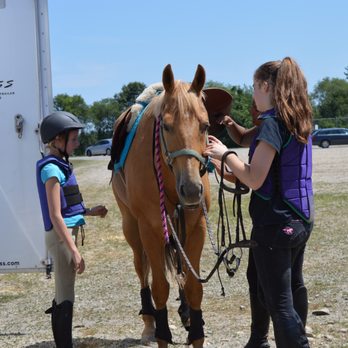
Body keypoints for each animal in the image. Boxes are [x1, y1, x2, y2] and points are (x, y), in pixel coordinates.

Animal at [110, 64, 211, 346]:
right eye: (165, 126)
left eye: (205, 125)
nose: (191, 189)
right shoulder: (151, 229)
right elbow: (159, 287)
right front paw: (162, 333)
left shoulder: (195, 226)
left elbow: (193, 285)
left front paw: (196, 331)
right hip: (132, 228)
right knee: (142, 269)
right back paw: (148, 324)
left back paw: (185, 313)